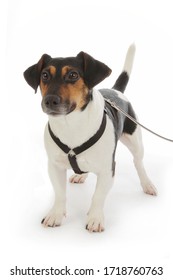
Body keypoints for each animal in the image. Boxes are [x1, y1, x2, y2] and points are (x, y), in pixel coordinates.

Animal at [23, 43, 157, 232]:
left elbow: (98, 195)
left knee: (139, 164)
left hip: (135, 141)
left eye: (73, 75)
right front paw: (56, 214)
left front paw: (95, 218)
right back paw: (81, 175)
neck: (71, 124)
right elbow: (60, 193)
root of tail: (115, 91)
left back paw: (147, 184)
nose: (49, 100)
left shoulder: (108, 169)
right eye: (45, 75)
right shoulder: (55, 166)